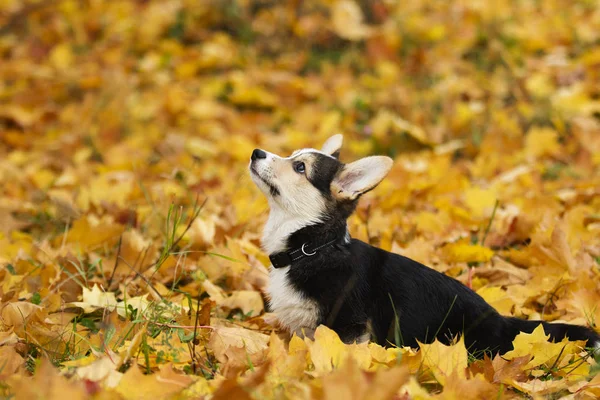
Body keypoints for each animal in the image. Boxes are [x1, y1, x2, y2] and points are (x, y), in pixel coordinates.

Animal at [248, 135, 600, 356]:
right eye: (292, 157)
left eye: (300, 167)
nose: (256, 152)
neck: (311, 247)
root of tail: (503, 322)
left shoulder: (348, 325)